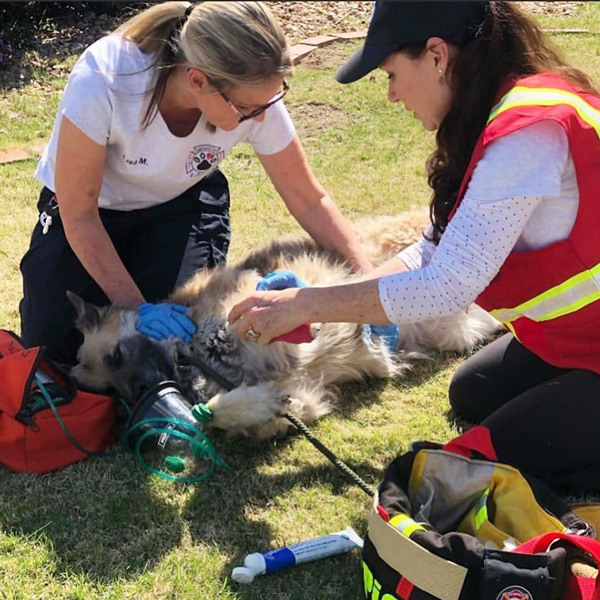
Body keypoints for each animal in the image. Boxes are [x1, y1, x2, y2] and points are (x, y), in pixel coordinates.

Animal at [69, 213, 502, 438]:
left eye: (116, 355)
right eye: (109, 393)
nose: (145, 392)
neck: (195, 352)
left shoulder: (264, 314)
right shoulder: (301, 399)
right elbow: (230, 413)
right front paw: (259, 402)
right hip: (463, 327)